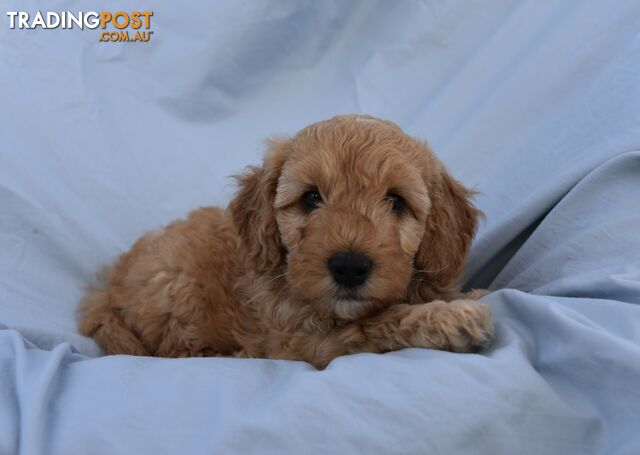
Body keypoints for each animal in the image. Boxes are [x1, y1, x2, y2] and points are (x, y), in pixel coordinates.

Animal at [79, 115, 490, 370]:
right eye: (311, 198)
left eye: (396, 201)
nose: (349, 267)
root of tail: (109, 283)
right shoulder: (303, 343)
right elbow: (372, 326)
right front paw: (450, 317)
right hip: (174, 287)